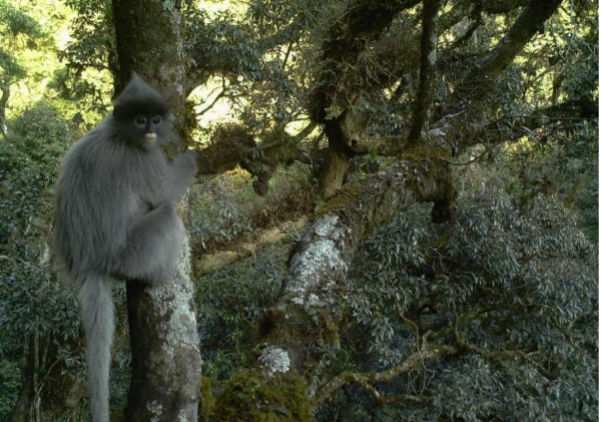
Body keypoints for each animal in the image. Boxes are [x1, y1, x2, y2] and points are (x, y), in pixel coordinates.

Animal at [53, 74, 197, 420]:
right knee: (167, 213)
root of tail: (87, 265)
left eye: (155, 120)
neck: (116, 132)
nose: (150, 131)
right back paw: (161, 276)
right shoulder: (143, 158)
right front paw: (193, 155)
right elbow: (168, 190)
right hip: (130, 254)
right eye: (139, 120)